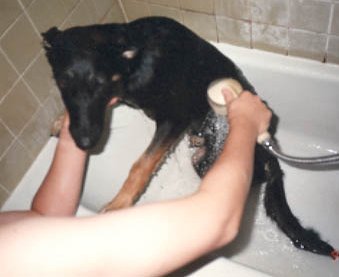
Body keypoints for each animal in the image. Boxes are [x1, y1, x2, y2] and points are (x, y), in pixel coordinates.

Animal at [41, 16, 338, 258]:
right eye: (62, 83)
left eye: (100, 84)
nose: (84, 143)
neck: (134, 62)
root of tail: (269, 155)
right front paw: (60, 120)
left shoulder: (174, 120)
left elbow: (141, 165)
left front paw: (119, 205)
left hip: (207, 162)